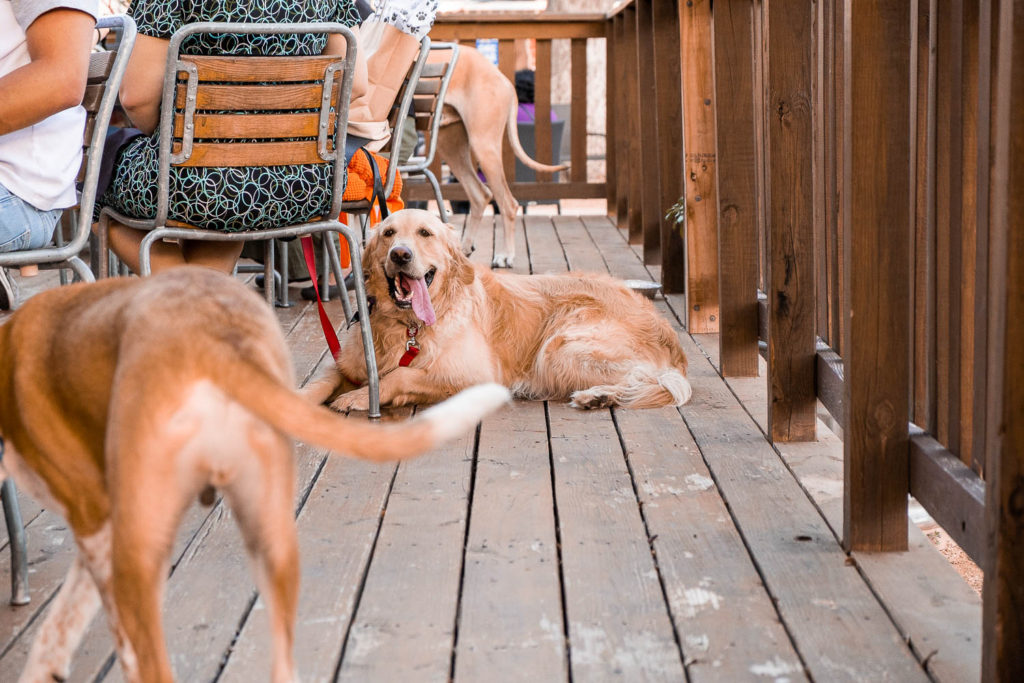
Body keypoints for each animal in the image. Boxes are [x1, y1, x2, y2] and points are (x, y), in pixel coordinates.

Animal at [301, 208, 688, 411]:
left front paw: (359, 396)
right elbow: (323, 379)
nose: (400, 254)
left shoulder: (476, 375)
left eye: (425, 233)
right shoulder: (347, 363)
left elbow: (400, 375)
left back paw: (600, 395)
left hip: (559, 348)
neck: (407, 325)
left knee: (654, 379)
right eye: (388, 233)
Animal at [430, 44, 573, 270]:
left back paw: (505, 255)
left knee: (508, 203)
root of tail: (503, 79)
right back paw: (463, 249)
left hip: (484, 145)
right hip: (449, 143)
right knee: (480, 195)